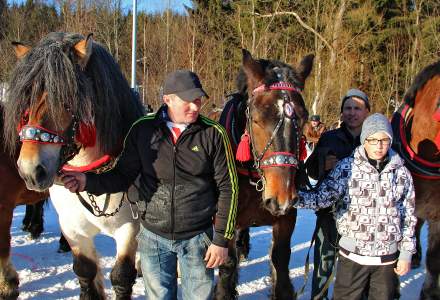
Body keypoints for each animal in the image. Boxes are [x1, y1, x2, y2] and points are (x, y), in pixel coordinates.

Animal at [214, 50, 312, 298]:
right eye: (257, 119)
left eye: (303, 119)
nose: (281, 197)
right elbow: (227, 264)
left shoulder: (286, 219)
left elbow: (280, 261)